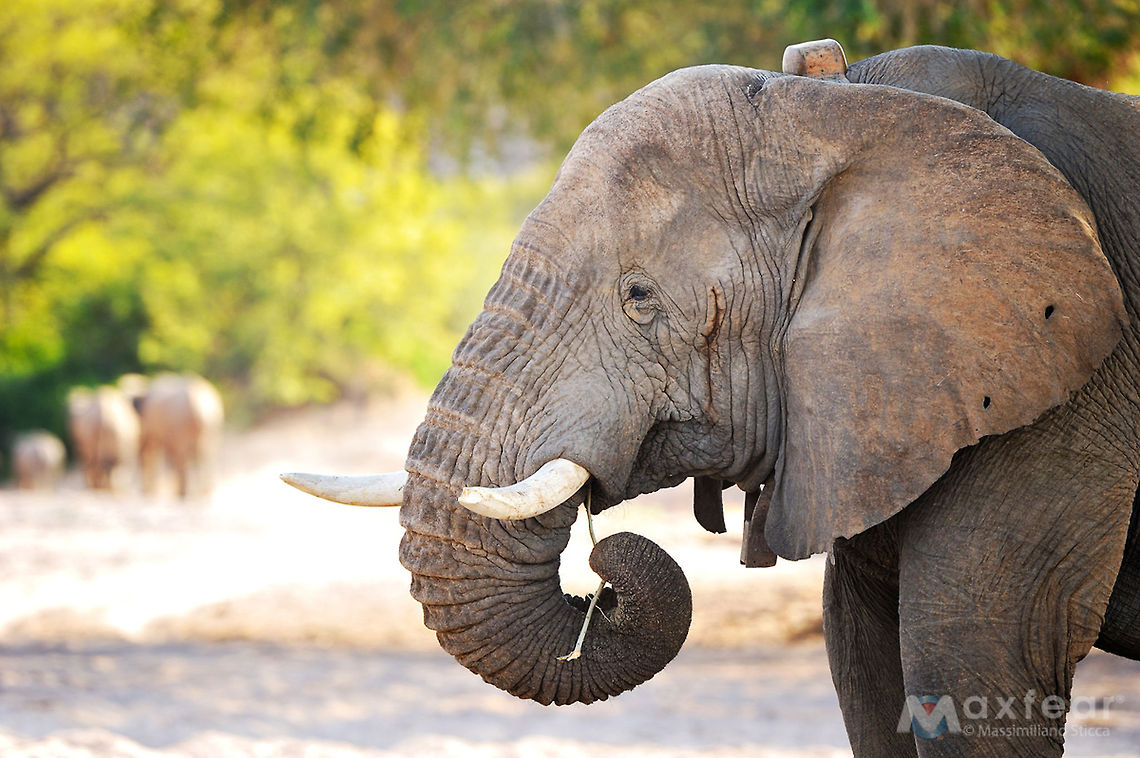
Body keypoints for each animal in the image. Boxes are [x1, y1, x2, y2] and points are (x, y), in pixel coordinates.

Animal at [285, 42, 1140, 757]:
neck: (845, 109)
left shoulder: (1054, 406)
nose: (602, 573)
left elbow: (966, 669)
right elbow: (866, 674)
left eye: (638, 297)